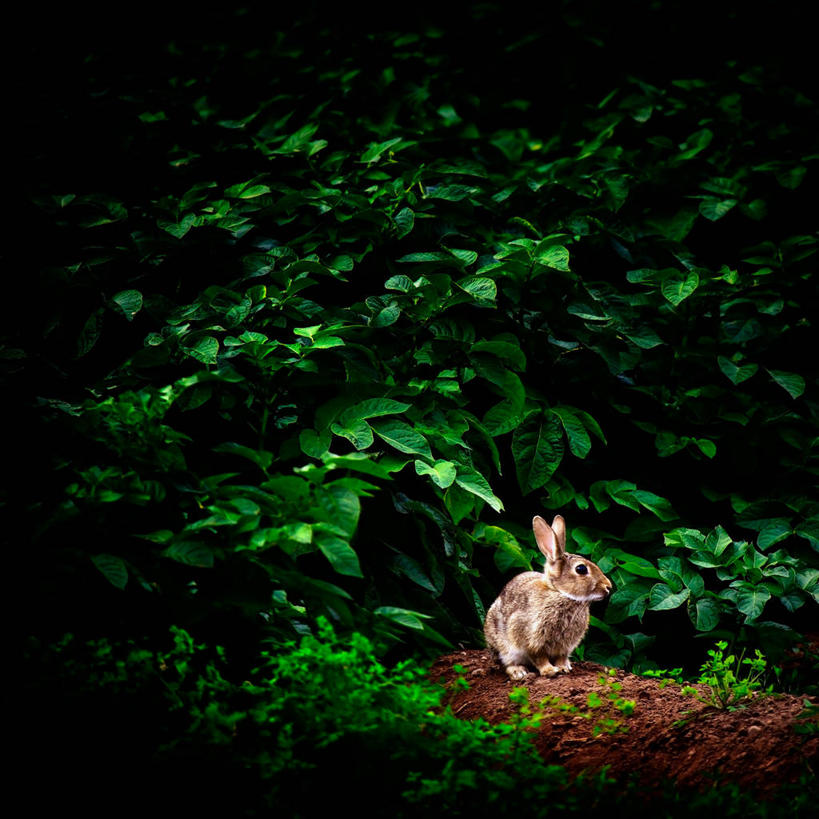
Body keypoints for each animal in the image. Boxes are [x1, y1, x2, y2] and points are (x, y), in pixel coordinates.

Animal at [484, 516, 612, 684]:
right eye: (581, 569)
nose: (608, 587)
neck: (559, 593)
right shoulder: (530, 638)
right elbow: (539, 657)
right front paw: (550, 671)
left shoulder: (565, 646)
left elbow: (561, 657)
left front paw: (564, 668)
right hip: (502, 645)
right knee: (507, 662)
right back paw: (519, 673)